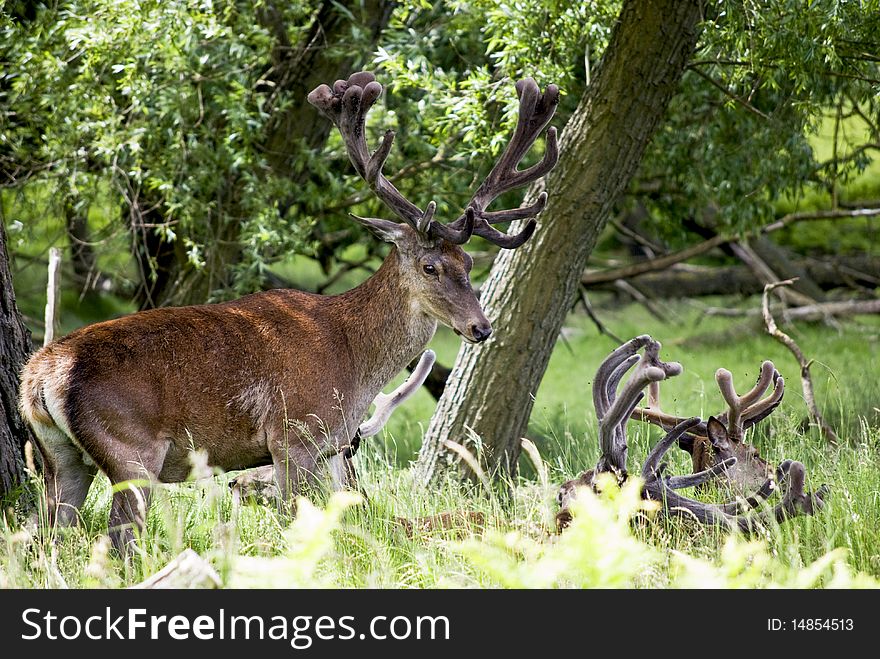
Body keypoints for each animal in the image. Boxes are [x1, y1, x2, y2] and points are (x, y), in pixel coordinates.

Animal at [20, 72, 560, 556]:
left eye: (468, 263)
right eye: (431, 266)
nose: (480, 327)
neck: (353, 361)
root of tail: (37, 379)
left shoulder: (331, 448)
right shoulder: (293, 434)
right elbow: (296, 529)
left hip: (59, 457)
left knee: (49, 537)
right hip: (132, 450)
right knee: (119, 541)